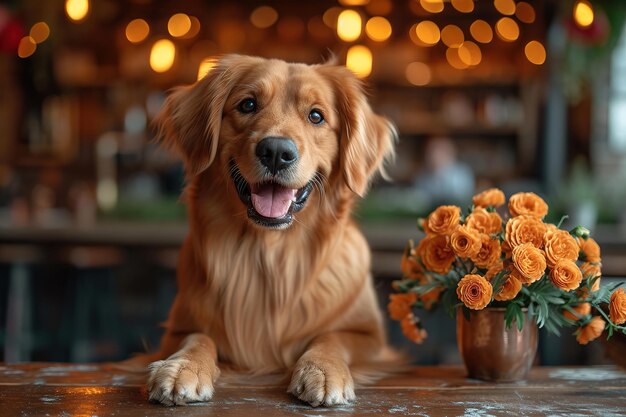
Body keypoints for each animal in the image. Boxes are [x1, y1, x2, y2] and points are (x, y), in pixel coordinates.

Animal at [145, 53, 394, 404]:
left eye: (316, 116)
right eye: (248, 104)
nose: (276, 152)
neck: (270, 255)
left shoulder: (371, 338)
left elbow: (333, 337)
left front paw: (323, 370)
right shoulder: (176, 330)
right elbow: (197, 336)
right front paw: (182, 366)